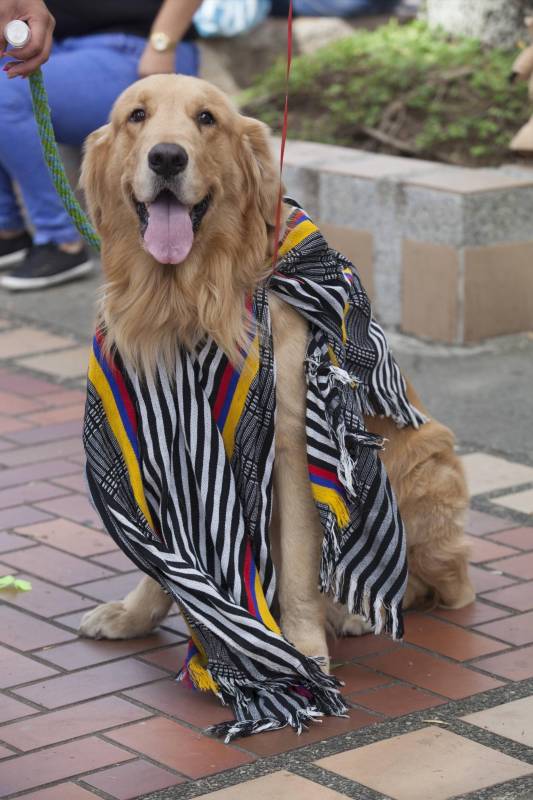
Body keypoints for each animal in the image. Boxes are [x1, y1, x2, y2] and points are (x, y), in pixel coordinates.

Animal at [78, 75, 474, 664]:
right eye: (136, 116)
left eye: (206, 119)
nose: (167, 157)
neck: (188, 302)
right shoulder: (161, 443)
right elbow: (166, 565)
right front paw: (135, 615)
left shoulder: (292, 445)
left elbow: (299, 571)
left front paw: (304, 648)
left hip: (426, 468)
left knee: (439, 587)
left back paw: (352, 612)